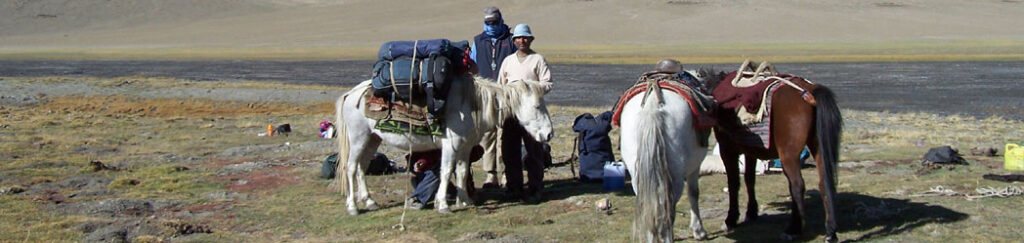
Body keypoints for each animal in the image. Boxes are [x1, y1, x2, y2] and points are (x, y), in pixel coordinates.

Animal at [335, 75, 552, 214]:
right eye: (537, 106)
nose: (549, 134)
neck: (470, 104)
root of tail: (351, 94)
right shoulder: (451, 145)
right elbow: (446, 171)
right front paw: (443, 206)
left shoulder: (465, 147)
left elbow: (462, 172)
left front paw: (465, 201)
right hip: (358, 138)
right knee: (351, 168)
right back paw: (353, 207)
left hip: (372, 139)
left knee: (362, 168)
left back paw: (370, 202)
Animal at [618, 81, 708, 240]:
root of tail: (652, 105)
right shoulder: (695, 166)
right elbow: (693, 193)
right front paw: (699, 230)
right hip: (675, 178)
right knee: (667, 213)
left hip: (638, 177)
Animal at [700, 65, 843, 243]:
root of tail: (809, 91)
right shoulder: (750, 150)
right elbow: (750, 179)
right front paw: (751, 212)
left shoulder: (728, 150)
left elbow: (734, 183)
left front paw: (731, 219)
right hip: (818, 147)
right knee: (824, 183)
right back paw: (830, 232)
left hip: (788, 154)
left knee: (797, 185)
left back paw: (793, 229)